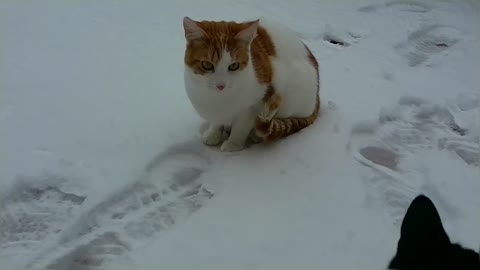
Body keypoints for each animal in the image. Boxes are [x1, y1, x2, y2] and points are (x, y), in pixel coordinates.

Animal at [182, 16, 320, 152]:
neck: (218, 98)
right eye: (207, 65)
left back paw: (256, 135)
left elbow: (241, 126)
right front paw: (213, 133)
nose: (221, 85)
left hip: (294, 90)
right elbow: (217, 121)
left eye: (234, 66)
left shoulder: (258, 100)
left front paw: (233, 144)